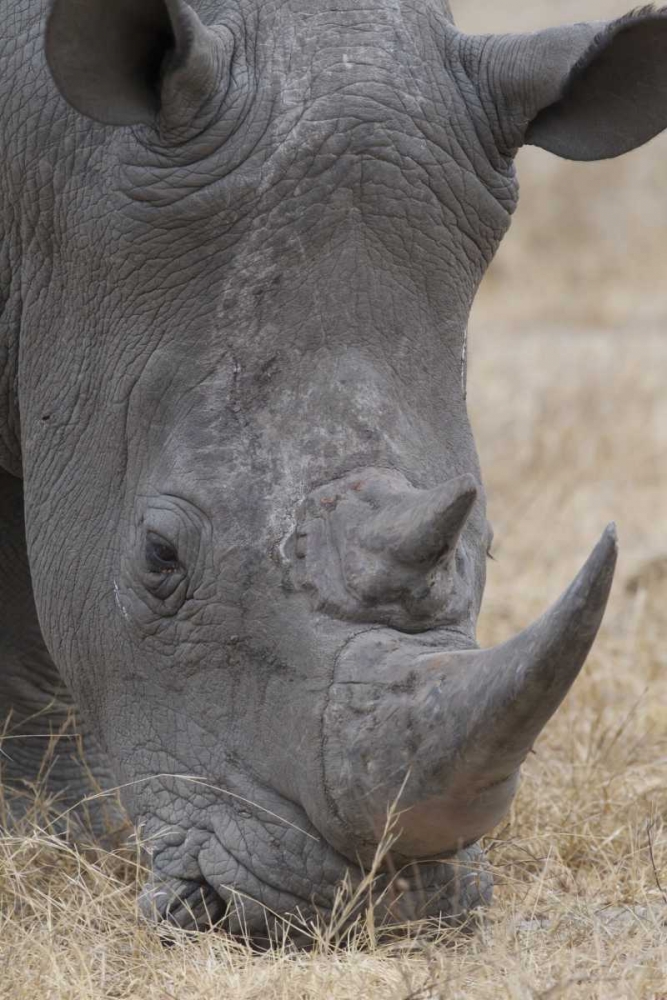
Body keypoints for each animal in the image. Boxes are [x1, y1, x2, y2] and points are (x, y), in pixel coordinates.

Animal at [1, 0, 666, 940]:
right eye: (158, 556)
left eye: (489, 544)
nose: (364, 909)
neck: (54, 161)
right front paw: (45, 836)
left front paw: (60, 836)